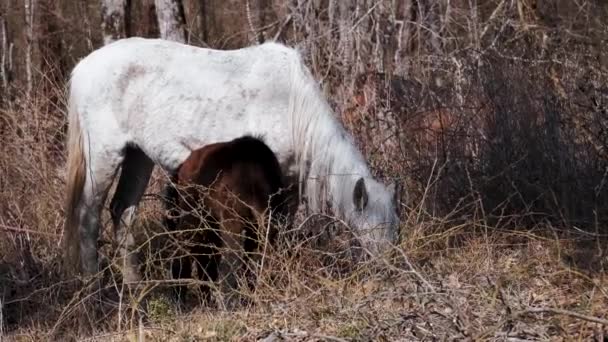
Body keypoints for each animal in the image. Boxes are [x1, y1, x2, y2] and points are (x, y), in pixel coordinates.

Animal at [64, 38, 402, 282]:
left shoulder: (288, 186)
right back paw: (95, 289)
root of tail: (83, 68)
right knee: (88, 217)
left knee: (123, 213)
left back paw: (134, 287)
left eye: (394, 228)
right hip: (104, 156)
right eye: (372, 229)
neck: (291, 104)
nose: (391, 271)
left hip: (138, 156)